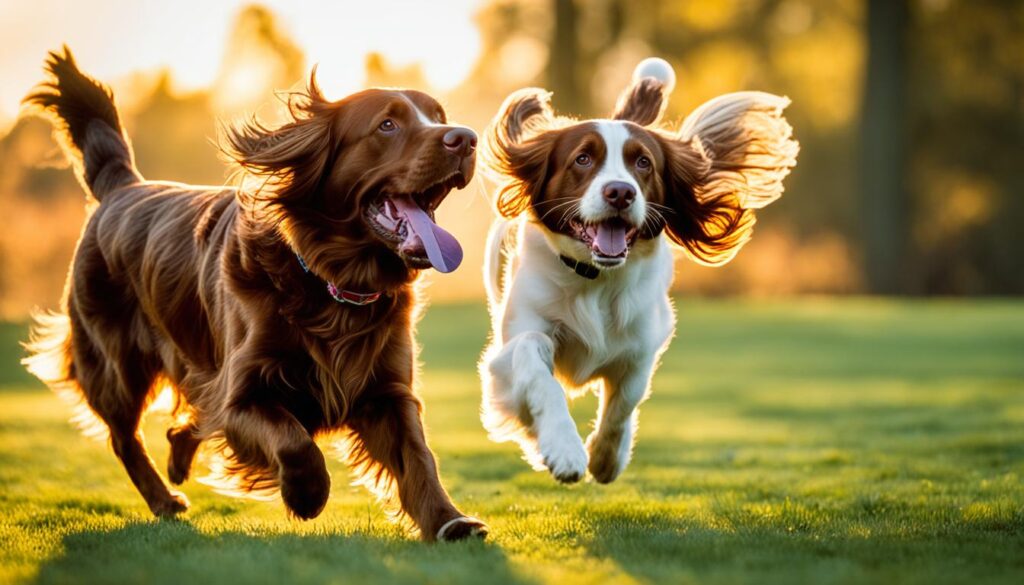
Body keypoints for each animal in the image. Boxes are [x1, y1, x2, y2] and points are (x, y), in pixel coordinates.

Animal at [23, 48, 487, 540]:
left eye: (440, 117)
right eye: (387, 124)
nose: (466, 139)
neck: (332, 285)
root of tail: (121, 185)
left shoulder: (387, 389)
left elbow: (418, 456)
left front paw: (450, 521)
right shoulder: (239, 393)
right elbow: (293, 441)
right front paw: (306, 494)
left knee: (181, 425)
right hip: (116, 363)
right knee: (124, 436)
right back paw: (163, 499)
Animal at [479, 58, 798, 485]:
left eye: (643, 162)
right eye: (583, 158)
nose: (620, 192)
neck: (595, 279)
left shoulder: (642, 343)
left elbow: (624, 401)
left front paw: (605, 458)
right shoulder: (511, 348)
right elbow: (536, 364)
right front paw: (563, 449)